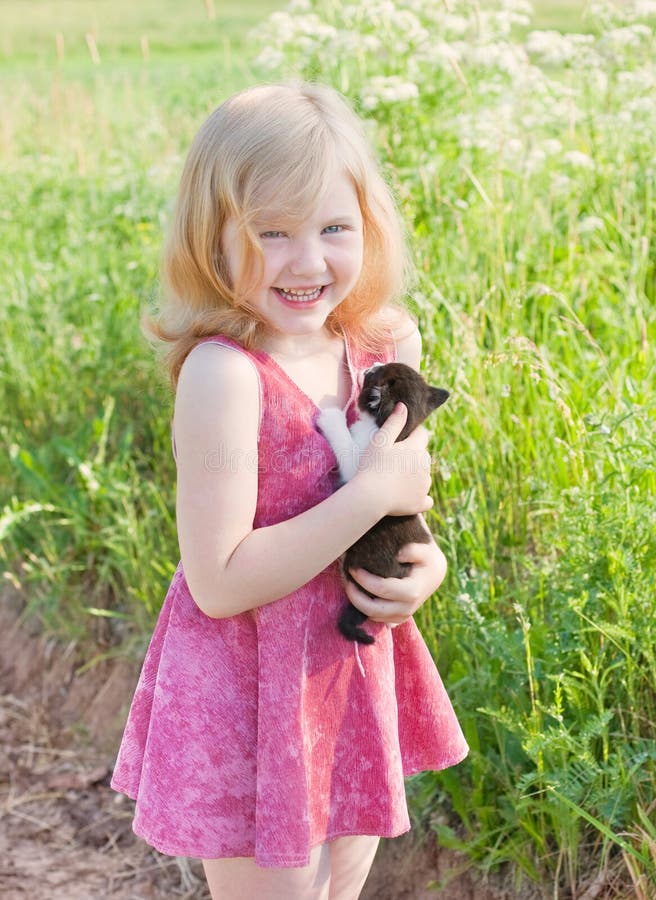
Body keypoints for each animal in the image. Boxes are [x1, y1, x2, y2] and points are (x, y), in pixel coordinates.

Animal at [318, 362, 452, 644]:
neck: (396, 431)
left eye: (372, 375)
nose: (372, 365)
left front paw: (331, 417)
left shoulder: (359, 468)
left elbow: (345, 445)